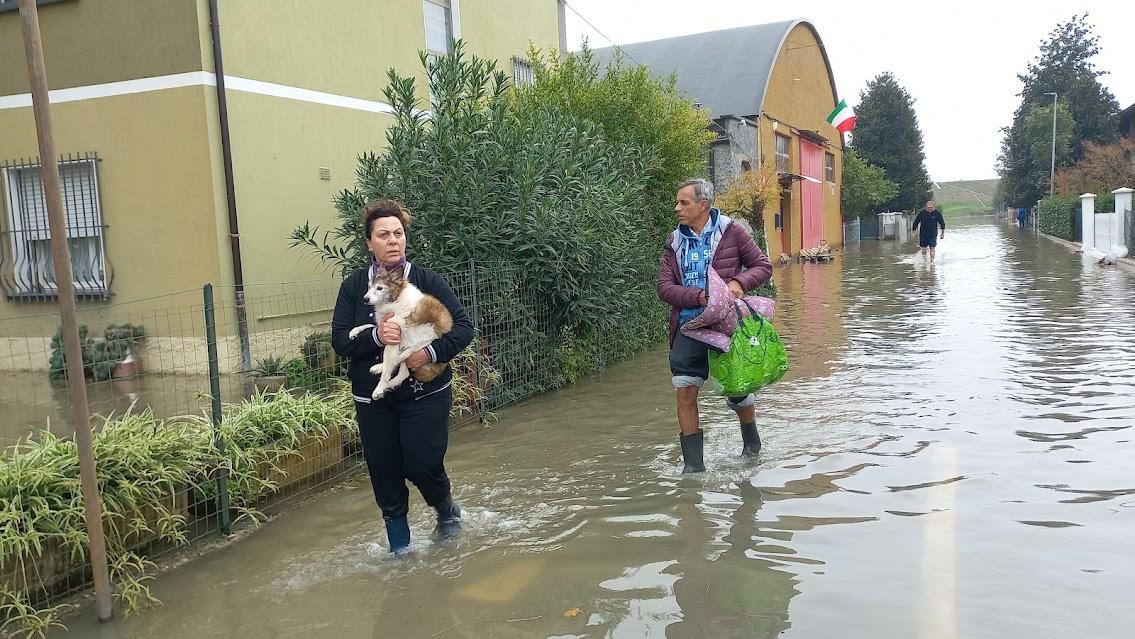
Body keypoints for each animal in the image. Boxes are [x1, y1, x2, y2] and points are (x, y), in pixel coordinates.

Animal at [347, 268, 449, 399]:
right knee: (402, 371)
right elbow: (371, 326)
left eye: (379, 288)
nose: (365, 299)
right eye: (369, 286)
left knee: (400, 364)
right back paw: (381, 370)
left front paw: (379, 388)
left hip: (419, 344)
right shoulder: (386, 326)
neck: (395, 299)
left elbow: (387, 372)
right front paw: (354, 331)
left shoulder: (394, 337)